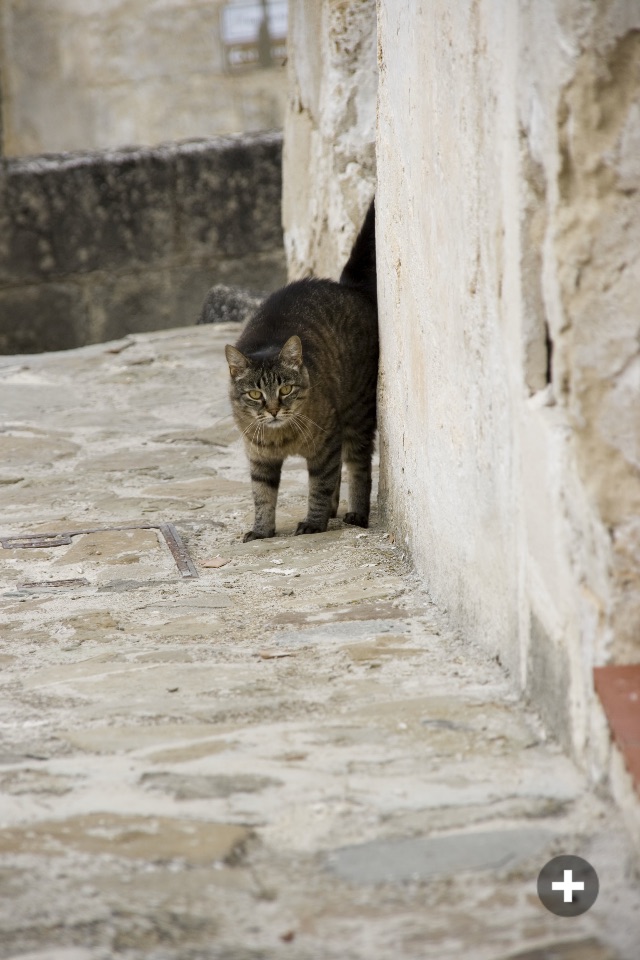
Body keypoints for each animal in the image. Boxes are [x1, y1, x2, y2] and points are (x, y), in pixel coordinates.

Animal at [224, 200, 376, 540]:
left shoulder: (326, 444)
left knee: (358, 467)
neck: (282, 438)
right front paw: (262, 530)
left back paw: (356, 513)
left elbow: (319, 485)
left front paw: (313, 522)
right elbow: (262, 496)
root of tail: (349, 287)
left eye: (285, 389)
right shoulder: (258, 458)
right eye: (255, 394)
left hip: (358, 414)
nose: (273, 410)